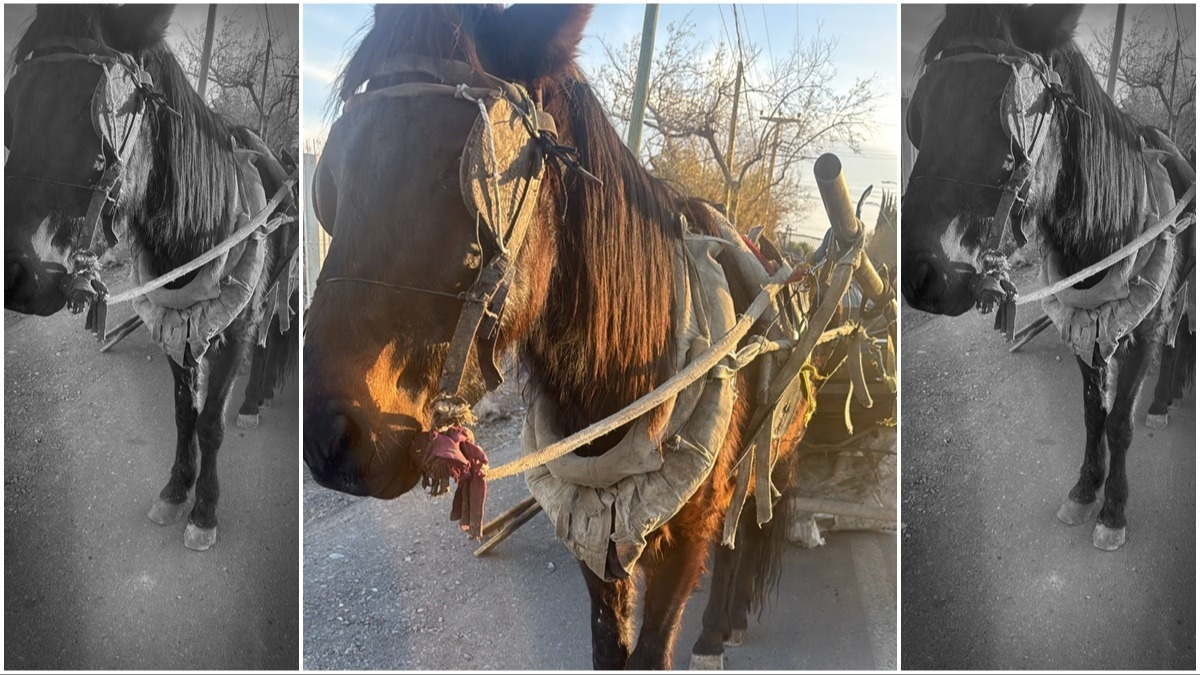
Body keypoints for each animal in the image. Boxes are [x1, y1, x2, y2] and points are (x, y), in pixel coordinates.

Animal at [5, 5, 298, 551]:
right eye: (13, 109)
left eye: (93, 113)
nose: (17, 273)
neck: (200, 233)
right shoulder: (174, 327)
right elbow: (185, 413)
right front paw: (176, 488)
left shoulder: (234, 331)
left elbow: (211, 422)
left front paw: (204, 510)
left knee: (272, 340)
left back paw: (254, 399)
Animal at [303, 4, 856, 668]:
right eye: (330, 182)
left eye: (456, 173)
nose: (329, 436)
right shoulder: (594, 532)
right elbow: (608, 644)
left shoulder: (684, 536)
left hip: (777, 447)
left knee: (748, 525)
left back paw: (719, 627)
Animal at [901, 4, 1195, 551]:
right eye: (921, 117)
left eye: (1000, 115)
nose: (918, 274)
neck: (1110, 231)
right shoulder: (1085, 329)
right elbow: (1093, 412)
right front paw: (1085, 489)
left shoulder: (1141, 331)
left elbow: (1119, 422)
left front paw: (1114, 510)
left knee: (1179, 337)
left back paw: (1164, 398)